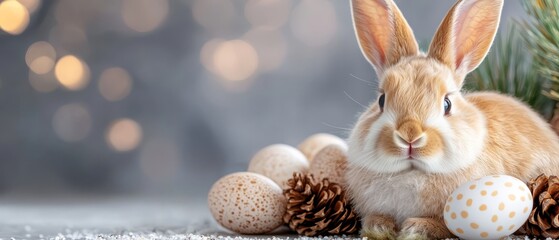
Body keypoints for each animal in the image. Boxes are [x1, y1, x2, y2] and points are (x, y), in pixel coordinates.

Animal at [344, 0, 559, 240]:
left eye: (447, 104)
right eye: (381, 100)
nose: (410, 135)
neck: (412, 173)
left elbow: (445, 226)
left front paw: (416, 228)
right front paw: (378, 226)